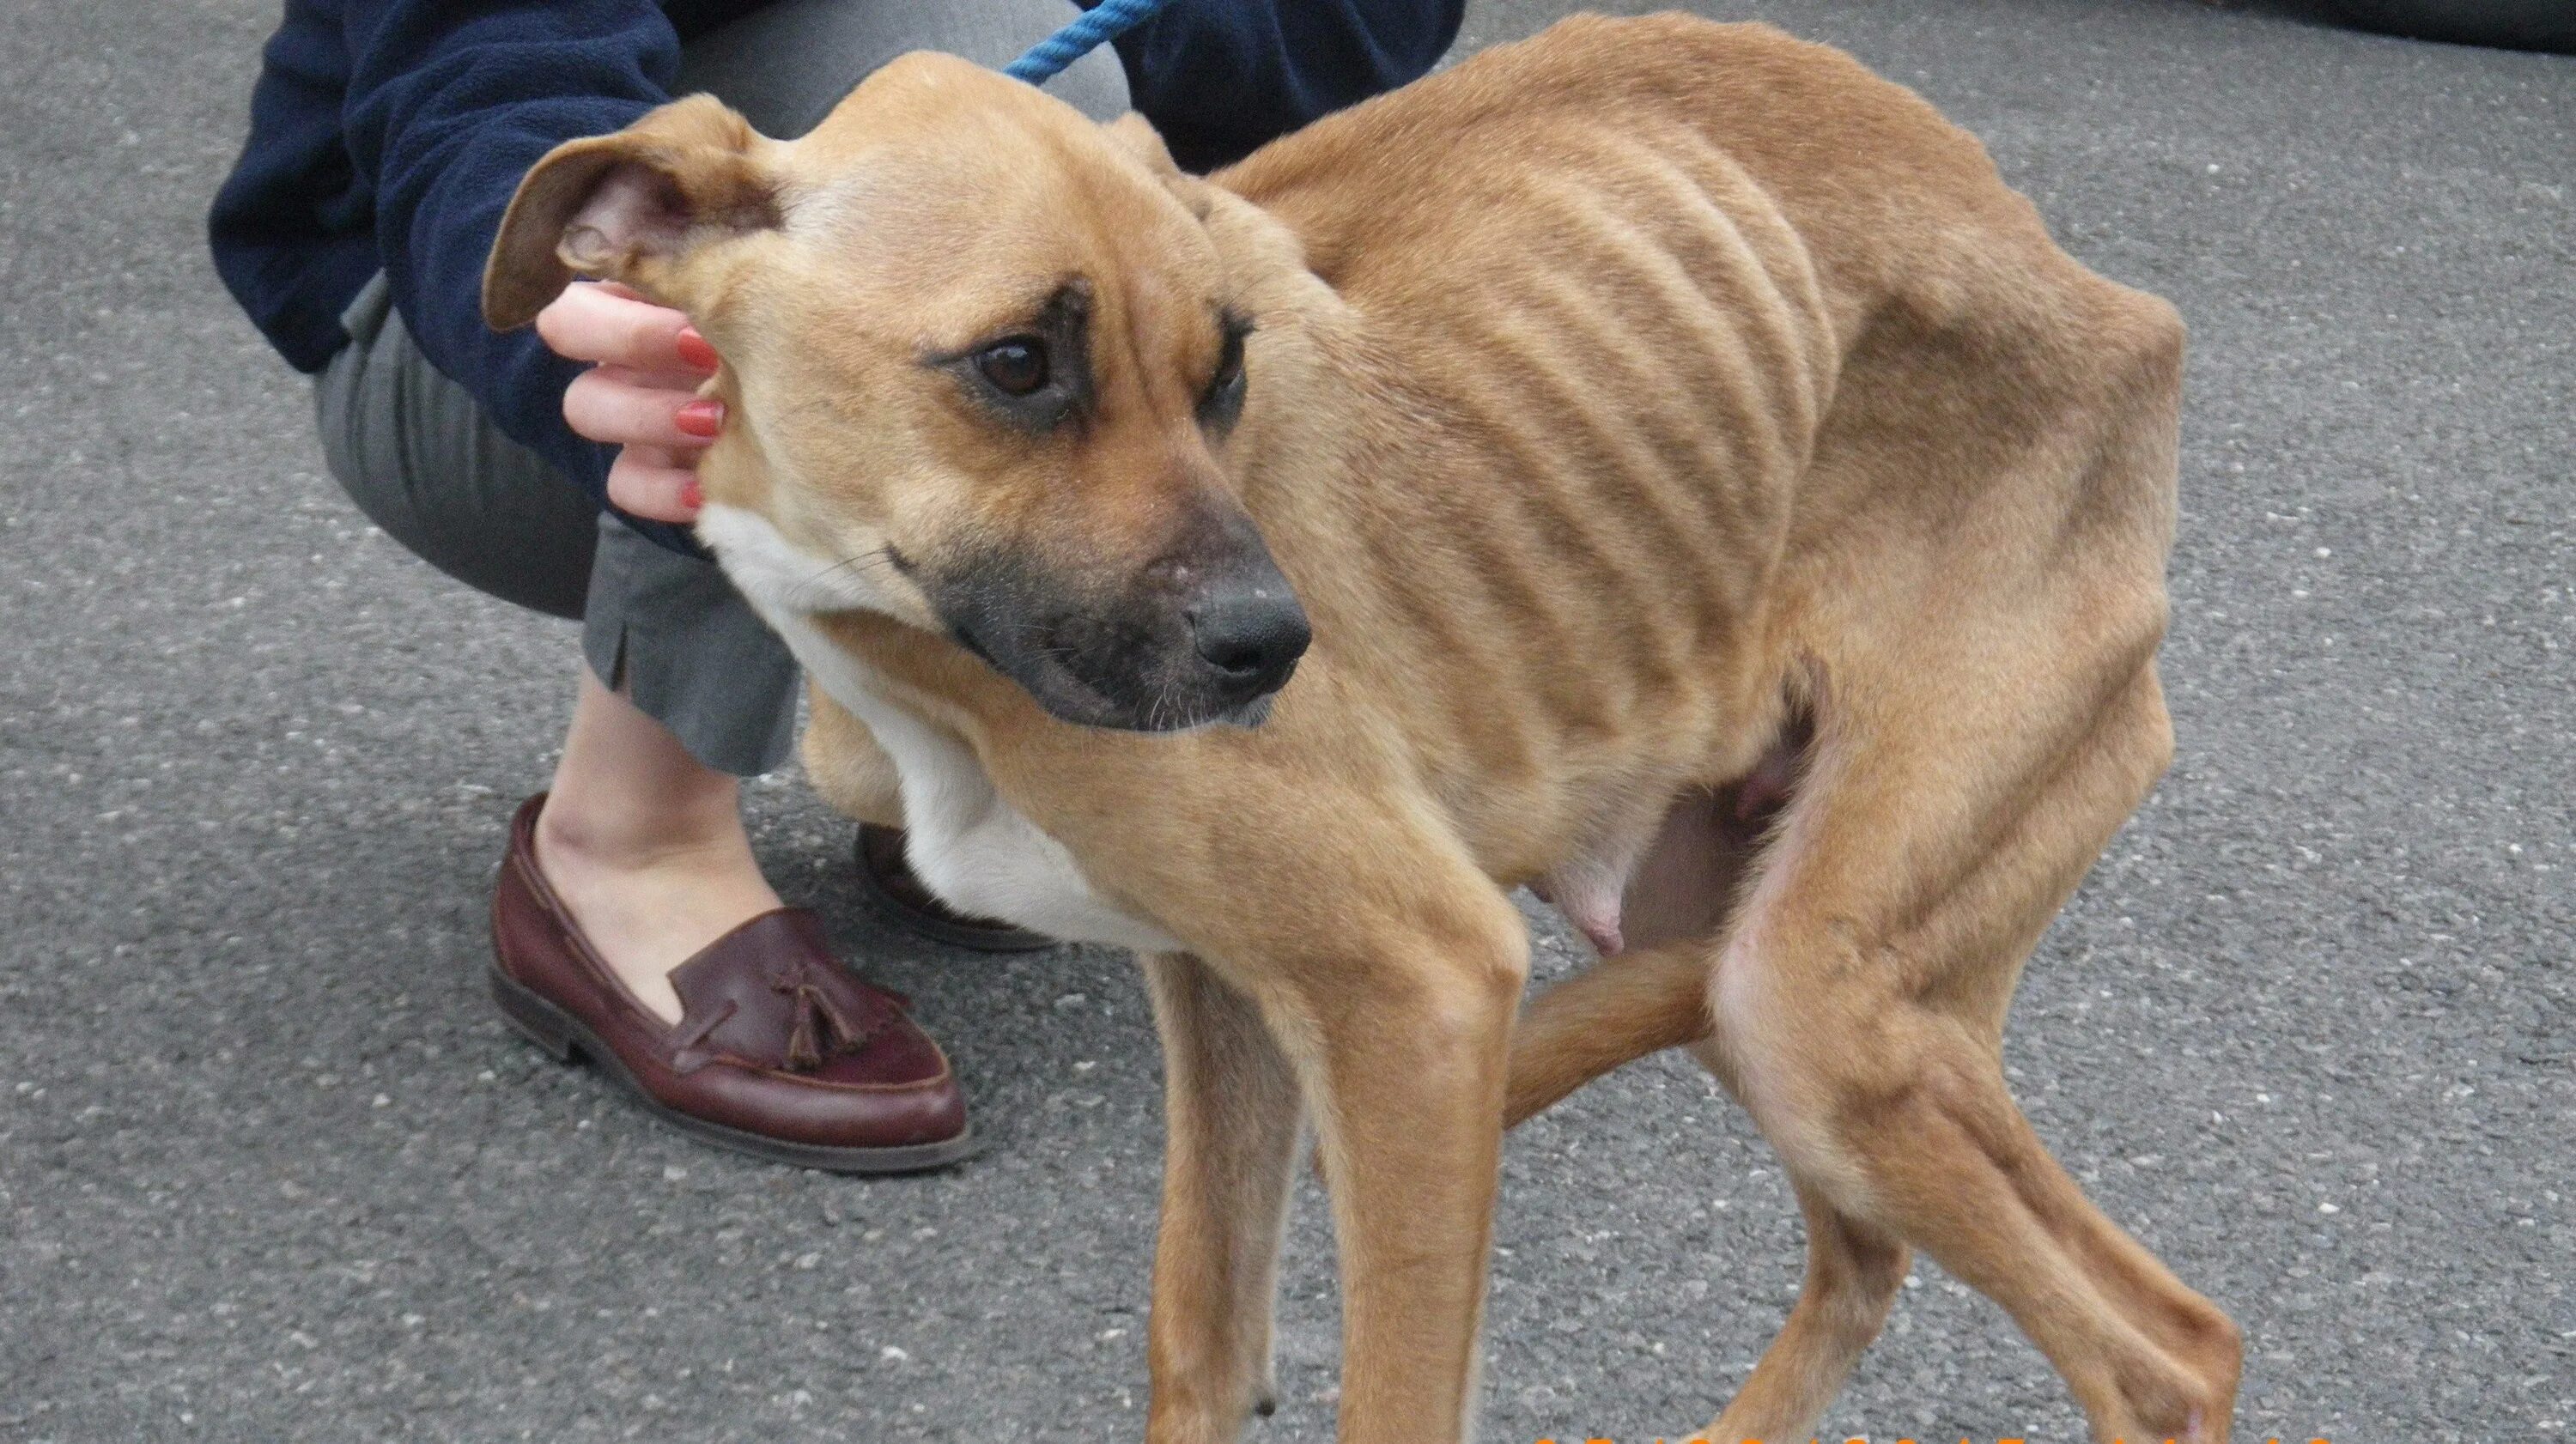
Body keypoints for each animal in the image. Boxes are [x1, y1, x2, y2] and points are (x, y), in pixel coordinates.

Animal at [484, 14, 2236, 1441]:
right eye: (1017, 364)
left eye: (1228, 367)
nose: (1278, 647)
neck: (915, 653)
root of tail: (2112, 298)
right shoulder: (1228, 994)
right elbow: (1198, 1343)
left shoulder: (1421, 993)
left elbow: (1389, 1394)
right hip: (1782, 991)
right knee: (1903, 1264)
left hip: (1814, 995)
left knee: (2167, 1353)